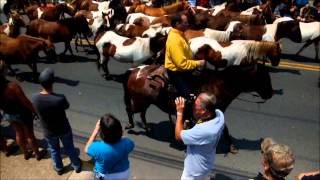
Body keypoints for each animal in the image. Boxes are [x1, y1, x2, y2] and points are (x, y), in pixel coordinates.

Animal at [121, 63, 274, 153]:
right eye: (262, 76)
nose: (270, 93)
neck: (218, 85)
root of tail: (135, 70)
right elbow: (224, 129)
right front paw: (232, 146)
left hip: (145, 102)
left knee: (142, 113)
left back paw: (147, 128)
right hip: (140, 101)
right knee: (130, 110)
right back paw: (130, 125)